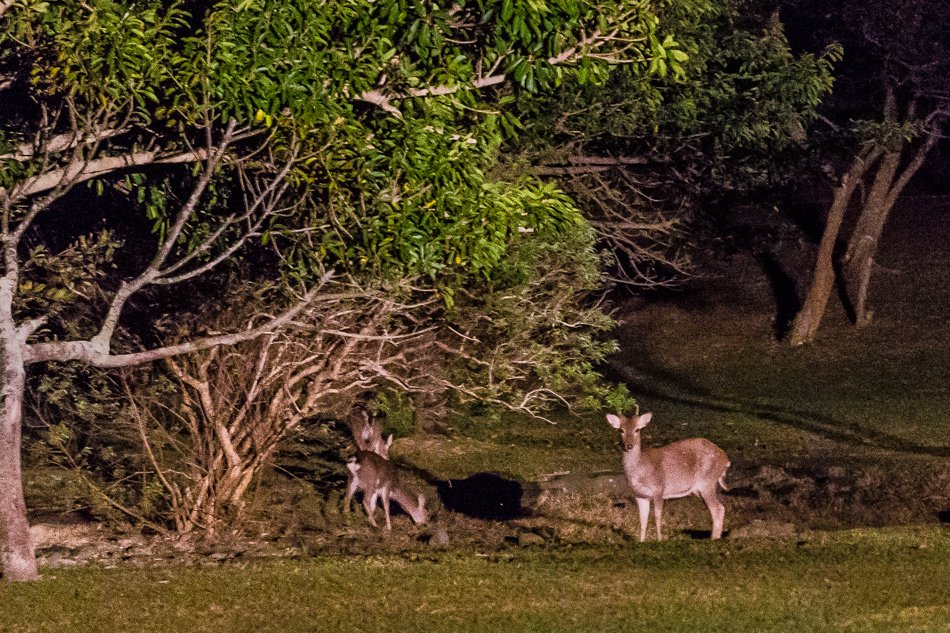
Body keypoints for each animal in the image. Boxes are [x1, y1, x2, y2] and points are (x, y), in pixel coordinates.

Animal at [608, 412, 732, 540]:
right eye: (621, 430)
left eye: (637, 430)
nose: (629, 445)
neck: (639, 471)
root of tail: (725, 459)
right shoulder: (640, 495)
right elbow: (642, 521)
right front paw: (641, 541)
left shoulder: (658, 488)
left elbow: (658, 518)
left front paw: (659, 540)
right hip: (699, 489)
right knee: (720, 508)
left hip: (707, 481)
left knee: (718, 509)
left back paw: (714, 539)